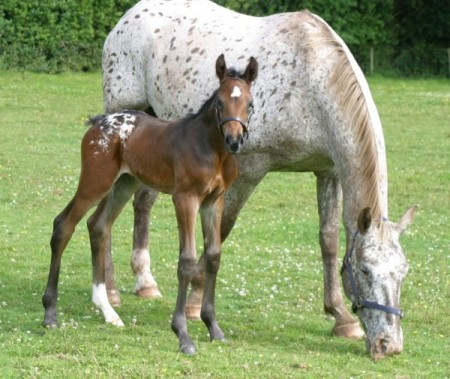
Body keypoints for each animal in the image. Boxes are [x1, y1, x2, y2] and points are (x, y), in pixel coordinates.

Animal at [43, 54, 260, 356]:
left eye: (250, 103)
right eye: (220, 103)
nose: (234, 140)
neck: (212, 150)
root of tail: (99, 123)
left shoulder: (213, 202)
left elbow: (214, 256)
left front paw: (213, 327)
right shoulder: (185, 198)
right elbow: (187, 259)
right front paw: (183, 335)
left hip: (124, 184)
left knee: (98, 226)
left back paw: (109, 312)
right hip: (96, 181)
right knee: (64, 225)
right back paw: (50, 314)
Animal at [103, 0, 418, 360]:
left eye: (403, 271)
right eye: (365, 270)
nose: (388, 345)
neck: (311, 82)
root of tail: (131, 16)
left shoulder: (328, 171)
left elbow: (329, 241)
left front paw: (341, 317)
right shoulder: (248, 171)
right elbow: (220, 233)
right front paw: (196, 304)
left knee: (142, 202)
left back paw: (145, 283)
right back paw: (110, 292)